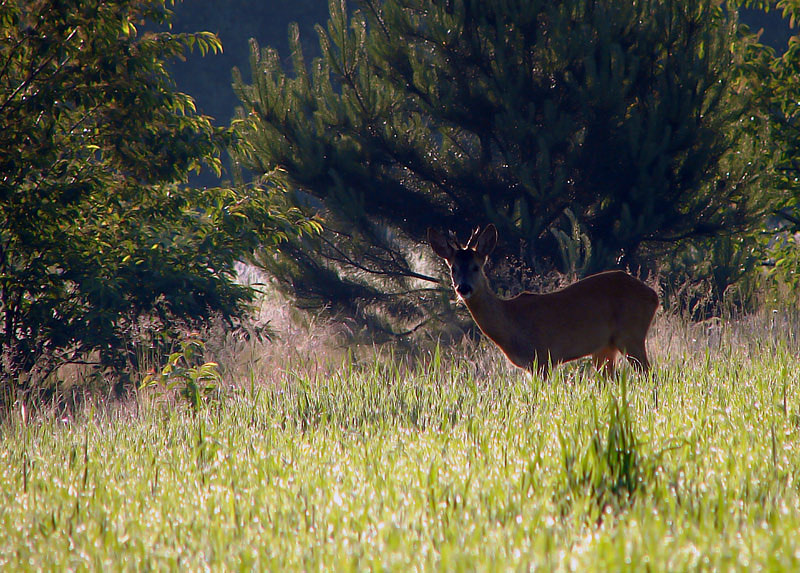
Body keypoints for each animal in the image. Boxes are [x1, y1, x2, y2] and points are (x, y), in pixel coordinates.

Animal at [428, 226, 660, 378]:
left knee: (650, 375)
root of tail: (653, 296)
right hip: (605, 347)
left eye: (476, 267)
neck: (511, 323)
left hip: (631, 334)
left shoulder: (542, 358)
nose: (463, 288)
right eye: (453, 269)